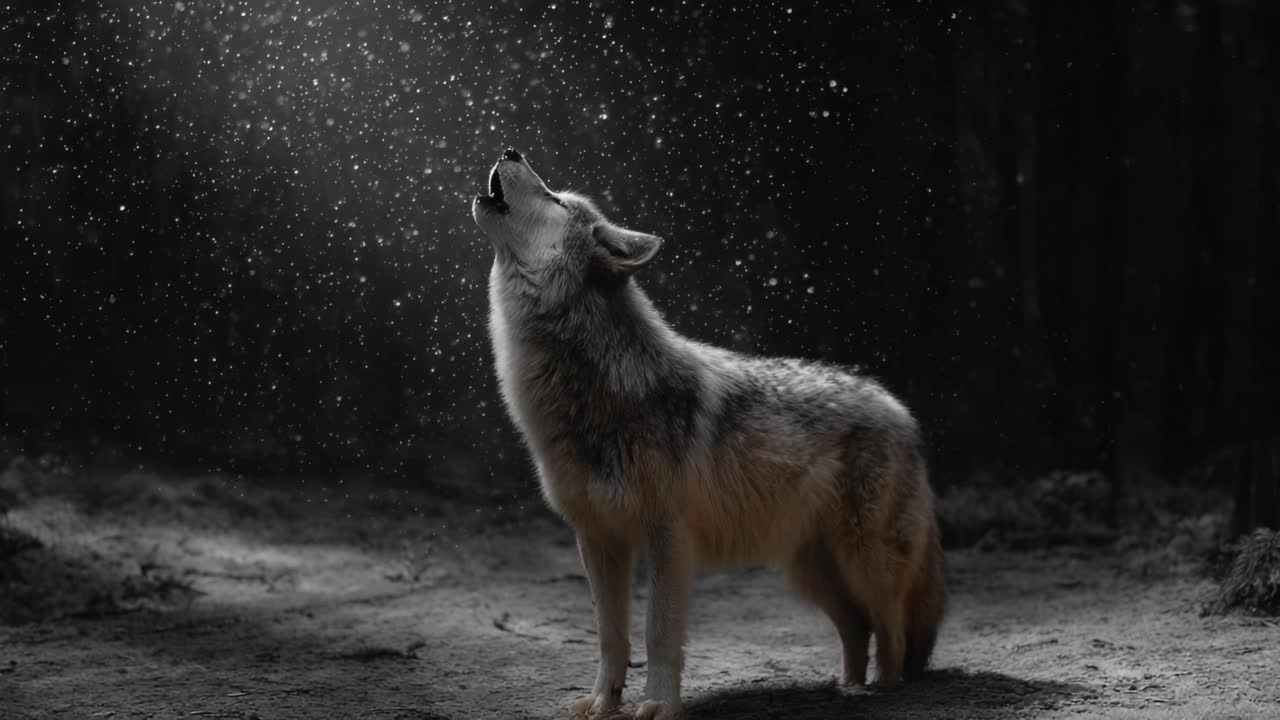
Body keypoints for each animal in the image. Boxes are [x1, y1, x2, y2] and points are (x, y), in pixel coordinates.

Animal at [472, 149, 944, 719]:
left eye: (556, 200)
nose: (511, 151)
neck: (588, 392)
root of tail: (899, 408)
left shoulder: (668, 538)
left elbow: (656, 633)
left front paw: (658, 705)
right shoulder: (598, 540)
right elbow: (610, 636)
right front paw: (603, 702)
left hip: (863, 562)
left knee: (891, 633)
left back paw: (881, 690)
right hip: (808, 569)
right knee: (858, 627)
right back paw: (847, 687)